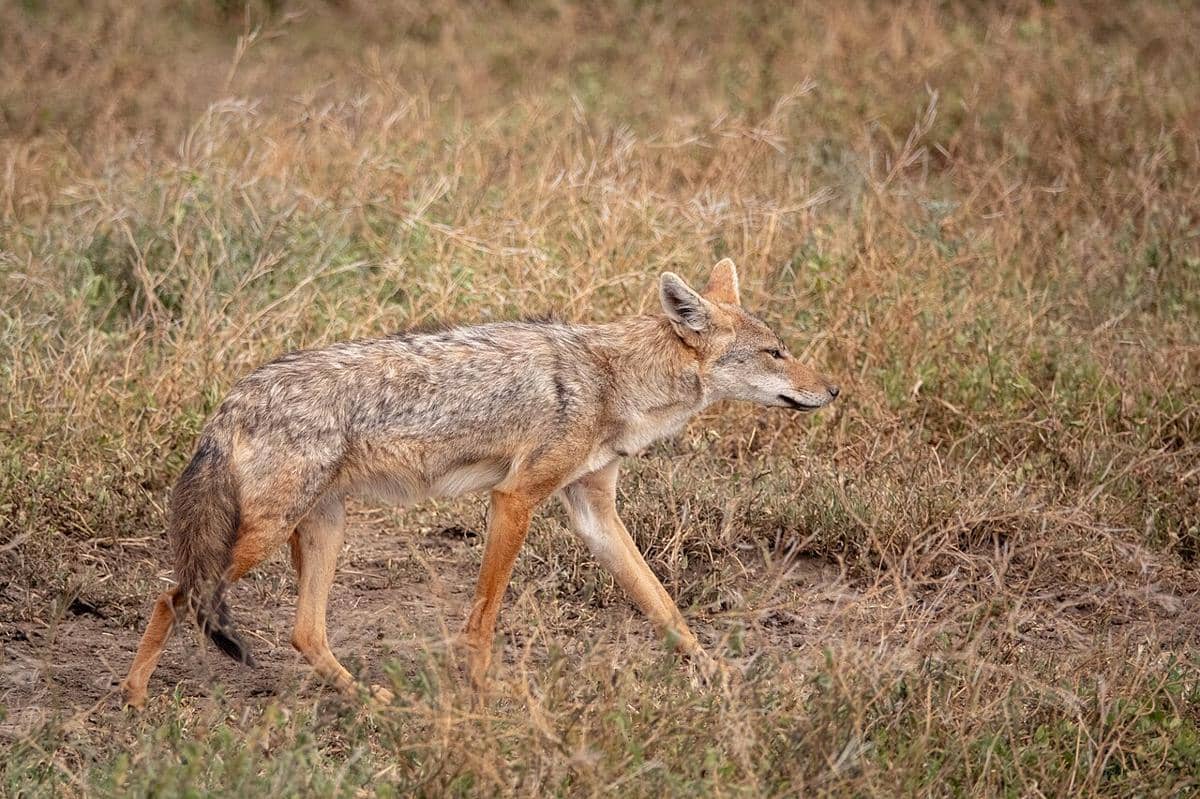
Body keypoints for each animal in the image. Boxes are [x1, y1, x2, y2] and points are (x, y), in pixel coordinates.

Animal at [121, 259, 839, 707]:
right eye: (776, 353)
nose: (832, 389)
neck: (615, 377)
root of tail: (230, 400)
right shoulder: (514, 498)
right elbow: (484, 618)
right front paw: (485, 695)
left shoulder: (593, 511)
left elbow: (665, 607)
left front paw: (717, 674)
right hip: (261, 539)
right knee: (171, 595)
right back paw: (133, 697)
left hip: (321, 528)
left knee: (306, 633)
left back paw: (372, 701)